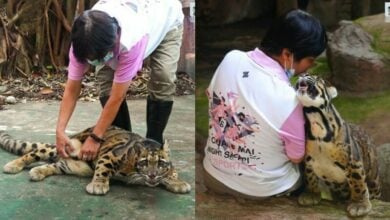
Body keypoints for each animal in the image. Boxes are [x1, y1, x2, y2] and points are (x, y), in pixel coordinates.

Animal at [0, 126, 190, 195]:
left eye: (160, 163)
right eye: (144, 162)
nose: (151, 175)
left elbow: (172, 172)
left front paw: (177, 182)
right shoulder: (111, 155)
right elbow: (103, 169)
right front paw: (98, 185)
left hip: (72, 166)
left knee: (54, 165)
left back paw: (37, 171)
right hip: (66, 146)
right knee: (33, 153)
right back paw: (13, 165)